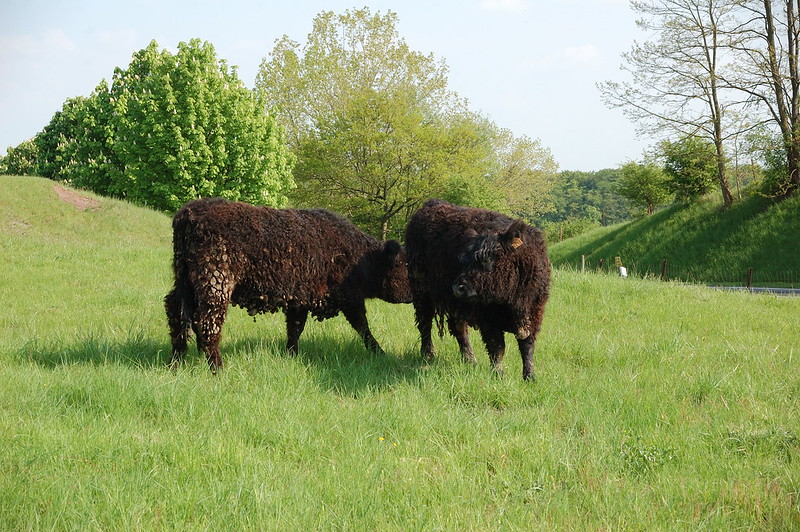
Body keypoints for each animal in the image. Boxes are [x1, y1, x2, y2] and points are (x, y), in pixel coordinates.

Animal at [164, 197, 412, 372]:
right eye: (405, 267)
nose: (414, 295)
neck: (361, 257)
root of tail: (189, 212)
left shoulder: (299, 299)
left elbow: (295, 329)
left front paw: (291, 355)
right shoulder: (350, 298)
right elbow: (363, 327)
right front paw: (379, 352)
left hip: (185, 282)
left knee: (176, 312)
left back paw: (176, 362)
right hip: (216, 281)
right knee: (208, 322)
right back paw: (217, 368)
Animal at [406, 201, 552, 382]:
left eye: (488, 259)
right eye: (462, 259)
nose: (458, 287)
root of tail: (432, 204)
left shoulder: (534, 314)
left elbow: (527, 346)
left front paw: (529, 376)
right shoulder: (488, 319)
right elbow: (497, 347)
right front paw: (498, 374)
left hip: (454, 304)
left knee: (459, 329)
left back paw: (470, 359)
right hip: (422, 293)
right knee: (425, 323)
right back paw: (428, 354)